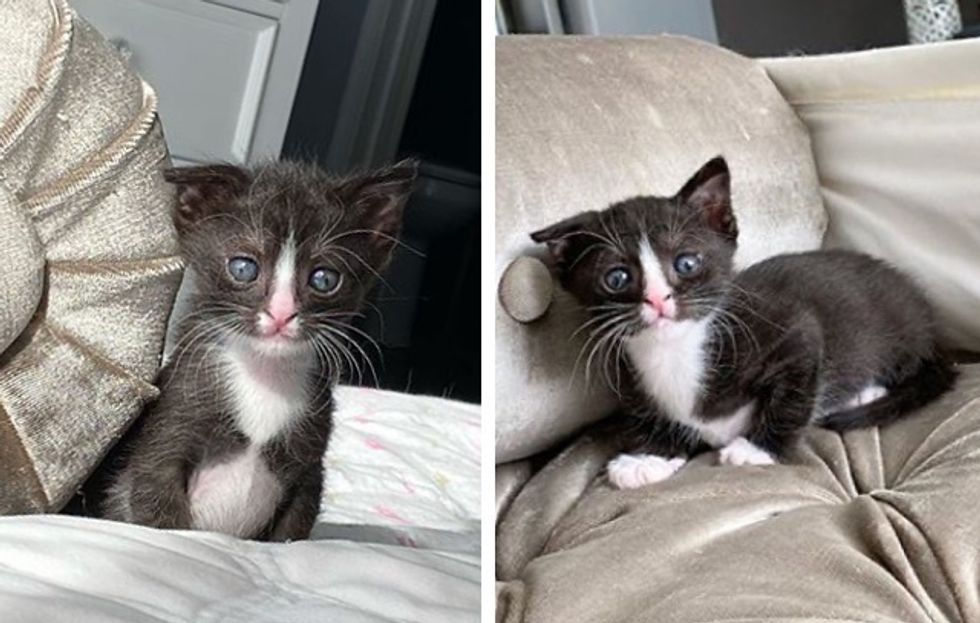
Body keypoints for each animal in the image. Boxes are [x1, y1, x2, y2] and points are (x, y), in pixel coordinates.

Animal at [101, 158, 416, 540]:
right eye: (243, 267)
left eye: (324, 278)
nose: (281, 313)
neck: (264, 373)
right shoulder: (164, 442)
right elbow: (159, 513)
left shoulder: (309, 469)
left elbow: (291, 533)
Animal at [532, 158, 952, 490]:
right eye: (616, 278)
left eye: (687, 262)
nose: (657, 299)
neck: (676, 351)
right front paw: (650, 457)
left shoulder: (793, 329)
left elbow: (793, 393)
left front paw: (758, 448)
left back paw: (863, 392)